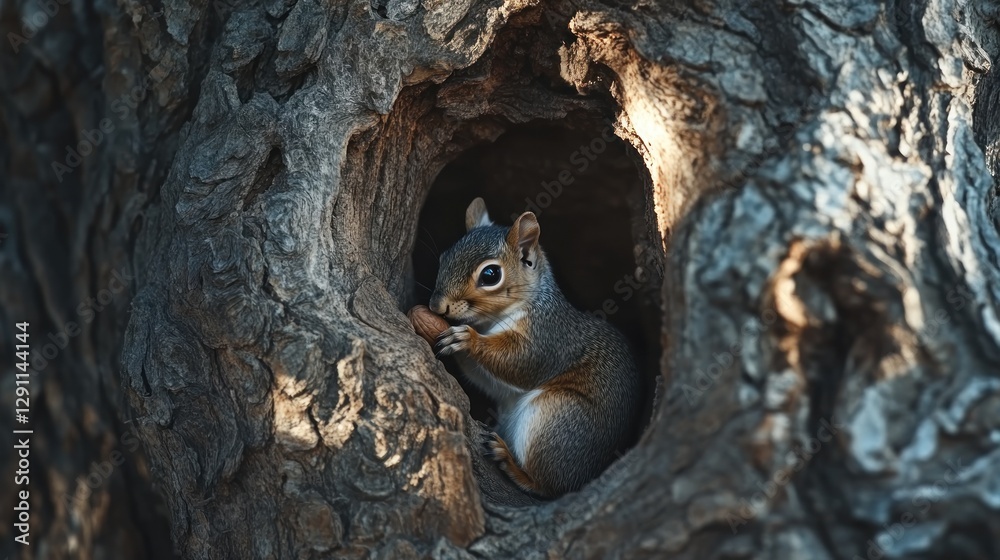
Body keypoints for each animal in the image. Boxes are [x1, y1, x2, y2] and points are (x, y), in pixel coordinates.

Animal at [428, 197, 639, 498]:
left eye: (490, 275)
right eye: (445, 257)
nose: (436, 306)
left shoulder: (548, 337)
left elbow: (522, 362)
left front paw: (467, 340)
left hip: (557, 417)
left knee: (548, 487)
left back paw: (510, 463)